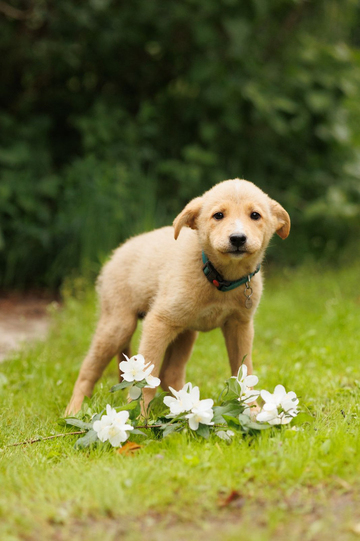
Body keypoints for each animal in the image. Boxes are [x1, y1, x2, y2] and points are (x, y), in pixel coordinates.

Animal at [64, 178, 290, 414]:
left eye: (255, 215)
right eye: (218, 215)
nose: (237, 238)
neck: (219, 279)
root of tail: (114, 255)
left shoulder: (240, 326)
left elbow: (244, 372)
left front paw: (251, 409)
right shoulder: (158, 322)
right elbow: (147, 378)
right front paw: (139, 415)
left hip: (185, 332)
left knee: (169, 373)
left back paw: (185, 406)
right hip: (118, 325)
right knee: (88, 370)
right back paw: (74, 409)